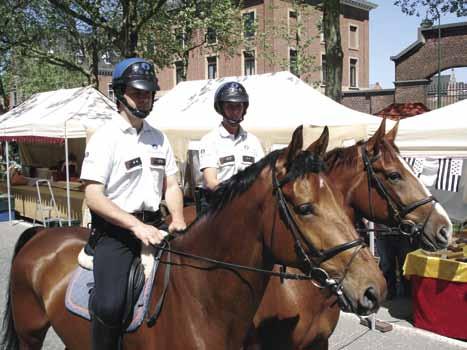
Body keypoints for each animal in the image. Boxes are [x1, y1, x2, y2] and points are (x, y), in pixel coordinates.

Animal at [1, 127, 386, 350]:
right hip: (31, 333)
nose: (375, 288)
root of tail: (42, 235)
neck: (199, 301)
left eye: (337, 197)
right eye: (305, 208)